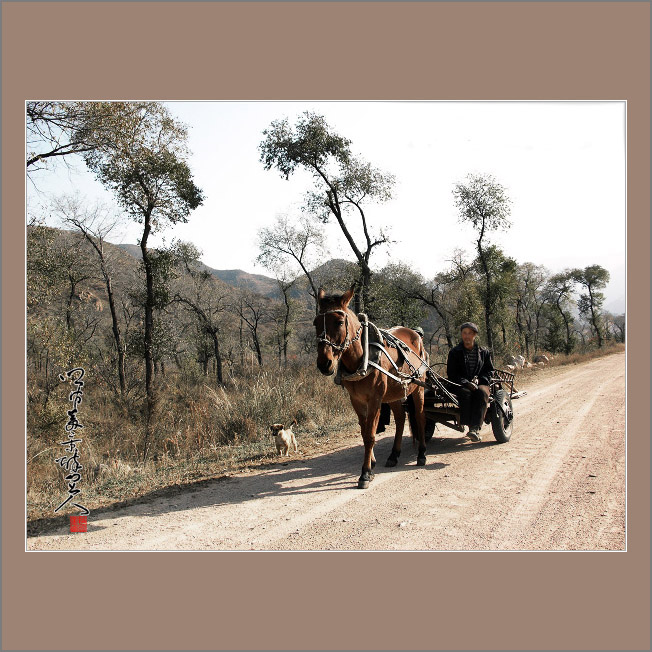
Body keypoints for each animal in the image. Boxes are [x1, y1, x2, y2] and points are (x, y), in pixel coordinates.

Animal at [314, 286, 430, 488]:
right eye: (315, 323)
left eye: (339, 322)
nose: (324, 363)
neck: (362, 359)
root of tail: (416, 335)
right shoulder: (357, 400)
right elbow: (364, 431)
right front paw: (372, 462)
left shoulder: (375, 400)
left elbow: (370, 434)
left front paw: (365, 473)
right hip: (393, 393)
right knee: (400, 419)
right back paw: (394, 455)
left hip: (418, 388)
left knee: (420, 417)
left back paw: (422, 453)